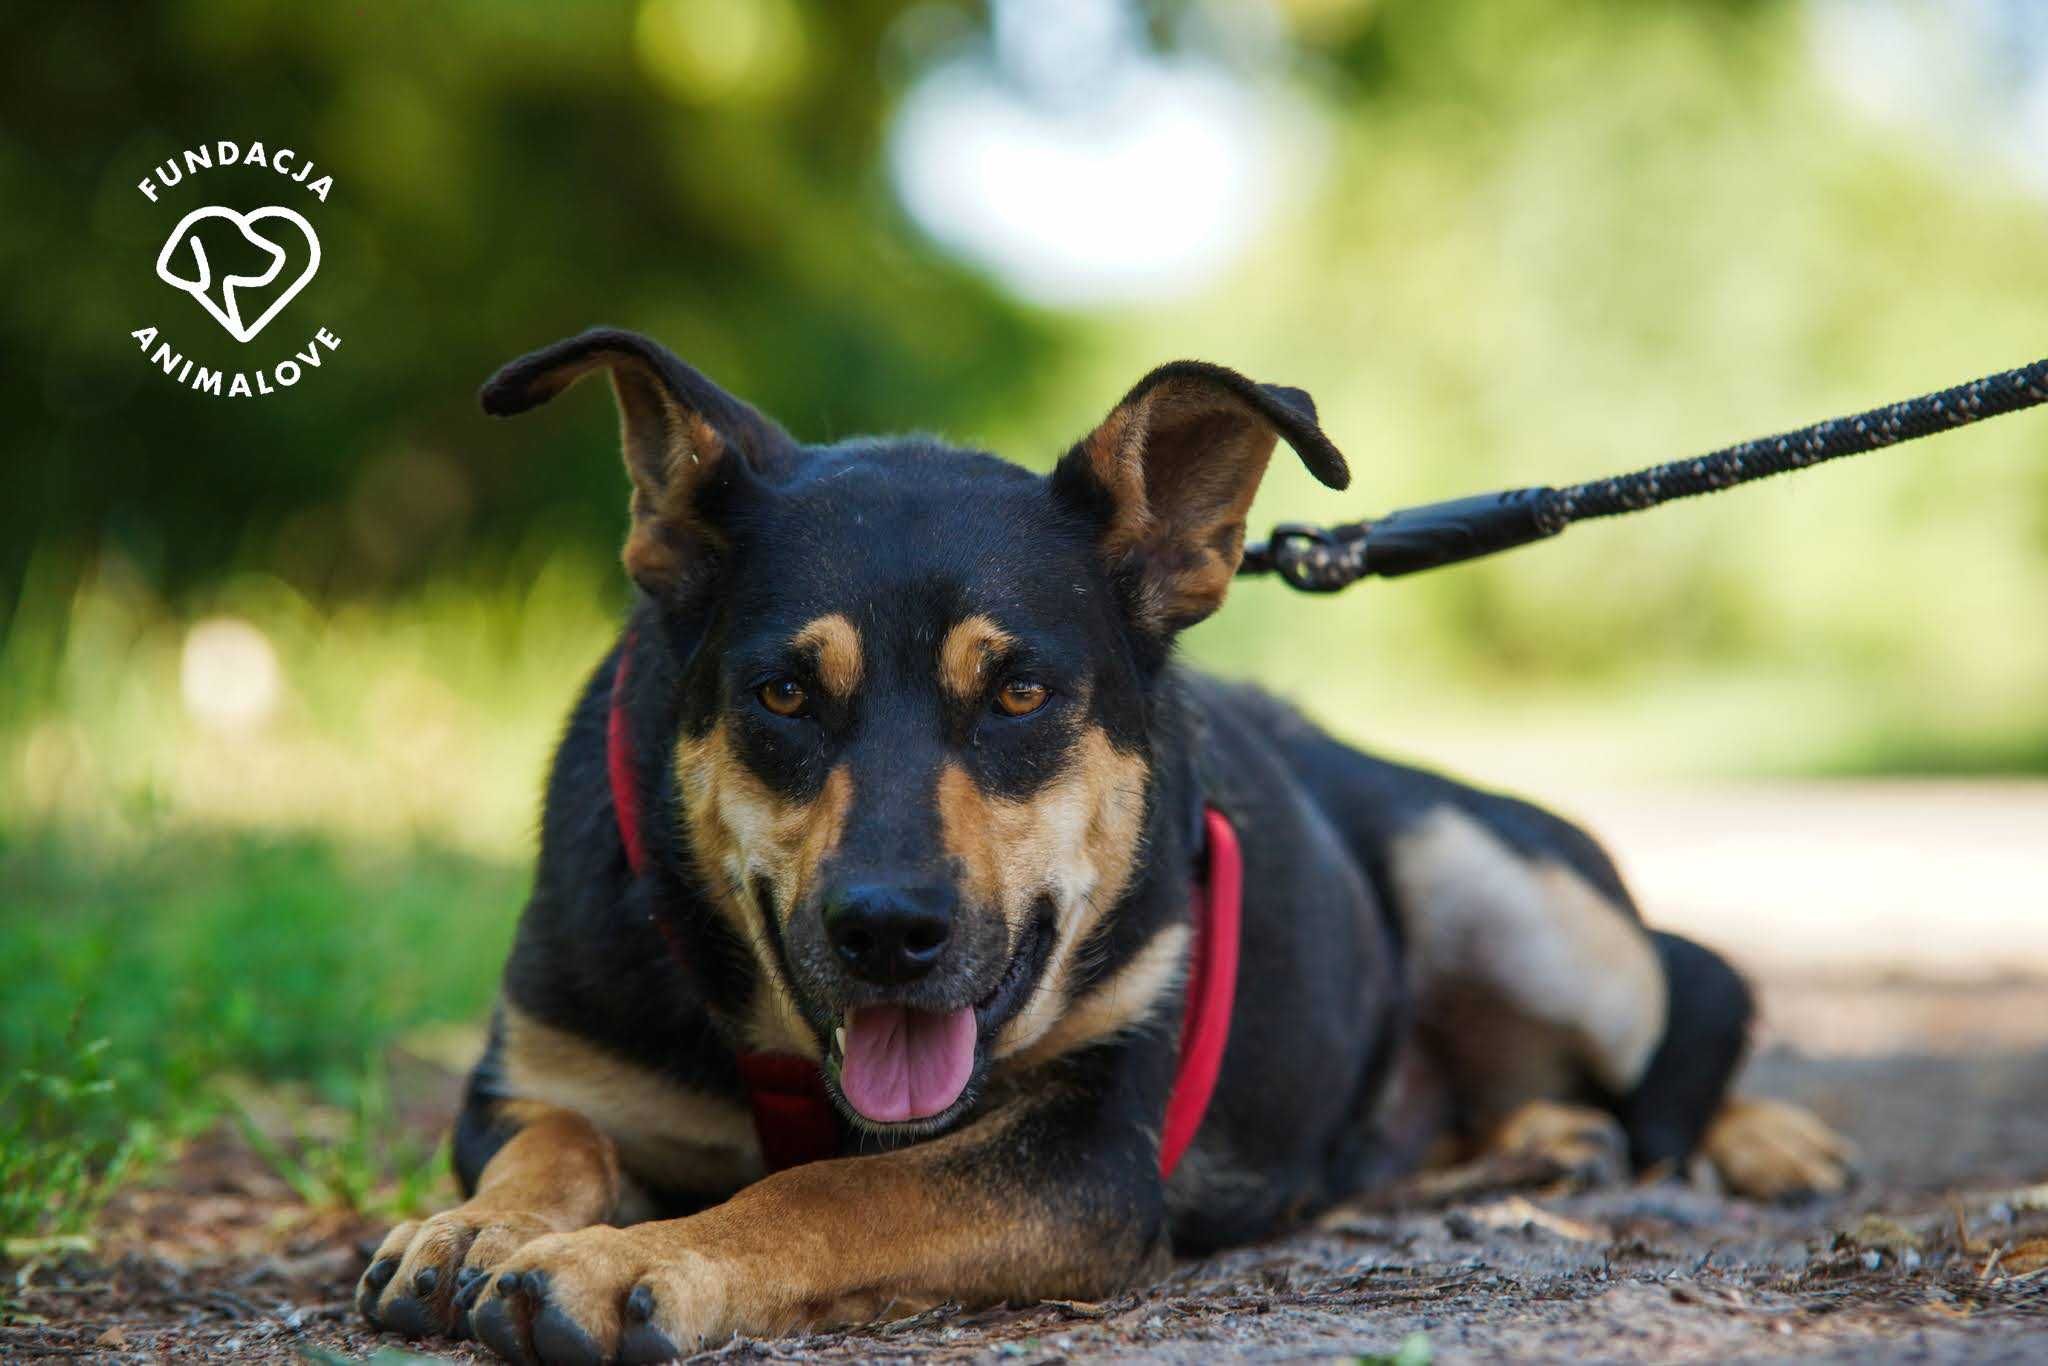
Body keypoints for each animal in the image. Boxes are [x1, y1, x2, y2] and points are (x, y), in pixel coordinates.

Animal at [356, 333, 1859, 1366]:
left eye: (1021, 692)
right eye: (783, 693)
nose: (887, 931)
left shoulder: (1082, 1152)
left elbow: (831, 1189)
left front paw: (627, 1263)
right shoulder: (531, 1072)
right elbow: (552, 1136)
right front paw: (475, 1226)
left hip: (1512, 896)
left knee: (1687, 997)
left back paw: (1757, 1135)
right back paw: (1536, 1142)